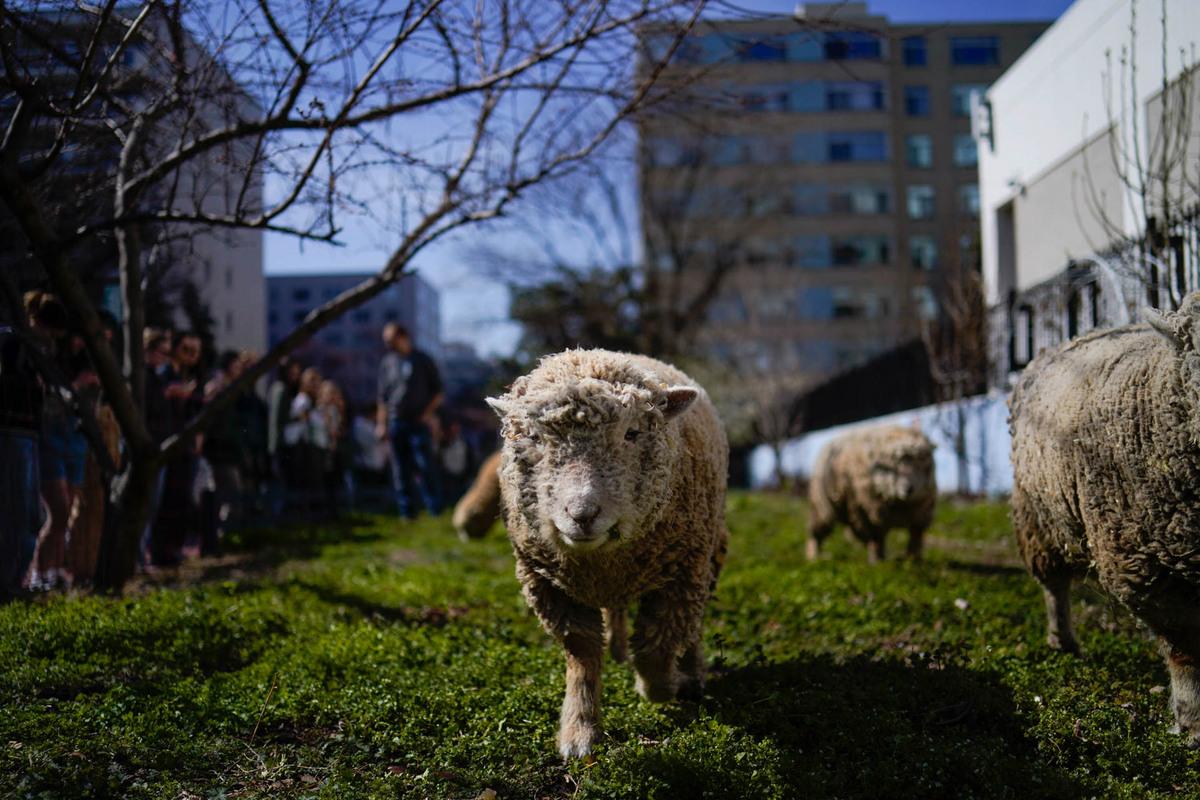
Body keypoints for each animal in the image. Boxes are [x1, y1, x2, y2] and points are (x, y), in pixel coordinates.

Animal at [486, 349, 729, 759]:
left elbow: (658, 645)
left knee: (692, 627)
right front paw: (579, 732)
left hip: (706, 557)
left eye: (632, 433)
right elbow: (582, 655)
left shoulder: (681, 574)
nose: (582, 514)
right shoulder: (549, 585)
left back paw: (691, 673)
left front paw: (659, 686)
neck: (602, 558)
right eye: (534, 437)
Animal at [806, 425, 936, 563]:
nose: (908, 489)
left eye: (919, 465)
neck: (899, 504)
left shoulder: (920, 516)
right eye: (892, 468)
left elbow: (915, 538)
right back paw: (814, 557)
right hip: (822, 507)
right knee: (816, 534)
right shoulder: (871, 515)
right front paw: (877, 562)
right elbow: (876, 539)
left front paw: (914, 560)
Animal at [1009, 292, 1200, 746]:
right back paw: (1062, 642)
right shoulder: (1143, 567)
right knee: (1054, 586)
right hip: (1038, 518)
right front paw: (1191, 722)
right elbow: (1186, 646)